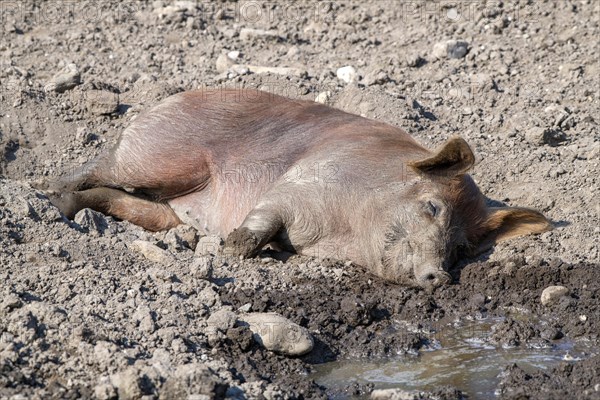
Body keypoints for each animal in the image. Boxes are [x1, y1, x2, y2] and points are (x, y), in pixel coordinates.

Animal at [47, 88, 552, 288]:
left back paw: (67, 205)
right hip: (159, 156)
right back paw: (46, 192)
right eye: (431, 207)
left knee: (122, 201)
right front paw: (233, 247)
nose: (439, 276)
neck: (343, 234)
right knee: (101, 164)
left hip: (162, 206)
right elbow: (264, 219)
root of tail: (165, 101)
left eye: (463, 249)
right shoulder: (301, 181)